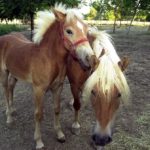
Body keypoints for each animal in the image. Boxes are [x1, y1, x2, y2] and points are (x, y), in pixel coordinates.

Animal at [0, 4, 99, 149]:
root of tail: (5, 37)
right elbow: (38, 114)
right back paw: (9, 118)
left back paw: (12, 110)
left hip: (15, 73)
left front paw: (60, 134)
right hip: (4, 73)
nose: (90, 59)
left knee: (11, 87)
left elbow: (57, 109)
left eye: (86, 30)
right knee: (6, 91)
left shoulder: (58, 87)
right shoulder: (38, 89)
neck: (48, 58)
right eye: (69, 31)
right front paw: (39, 141)